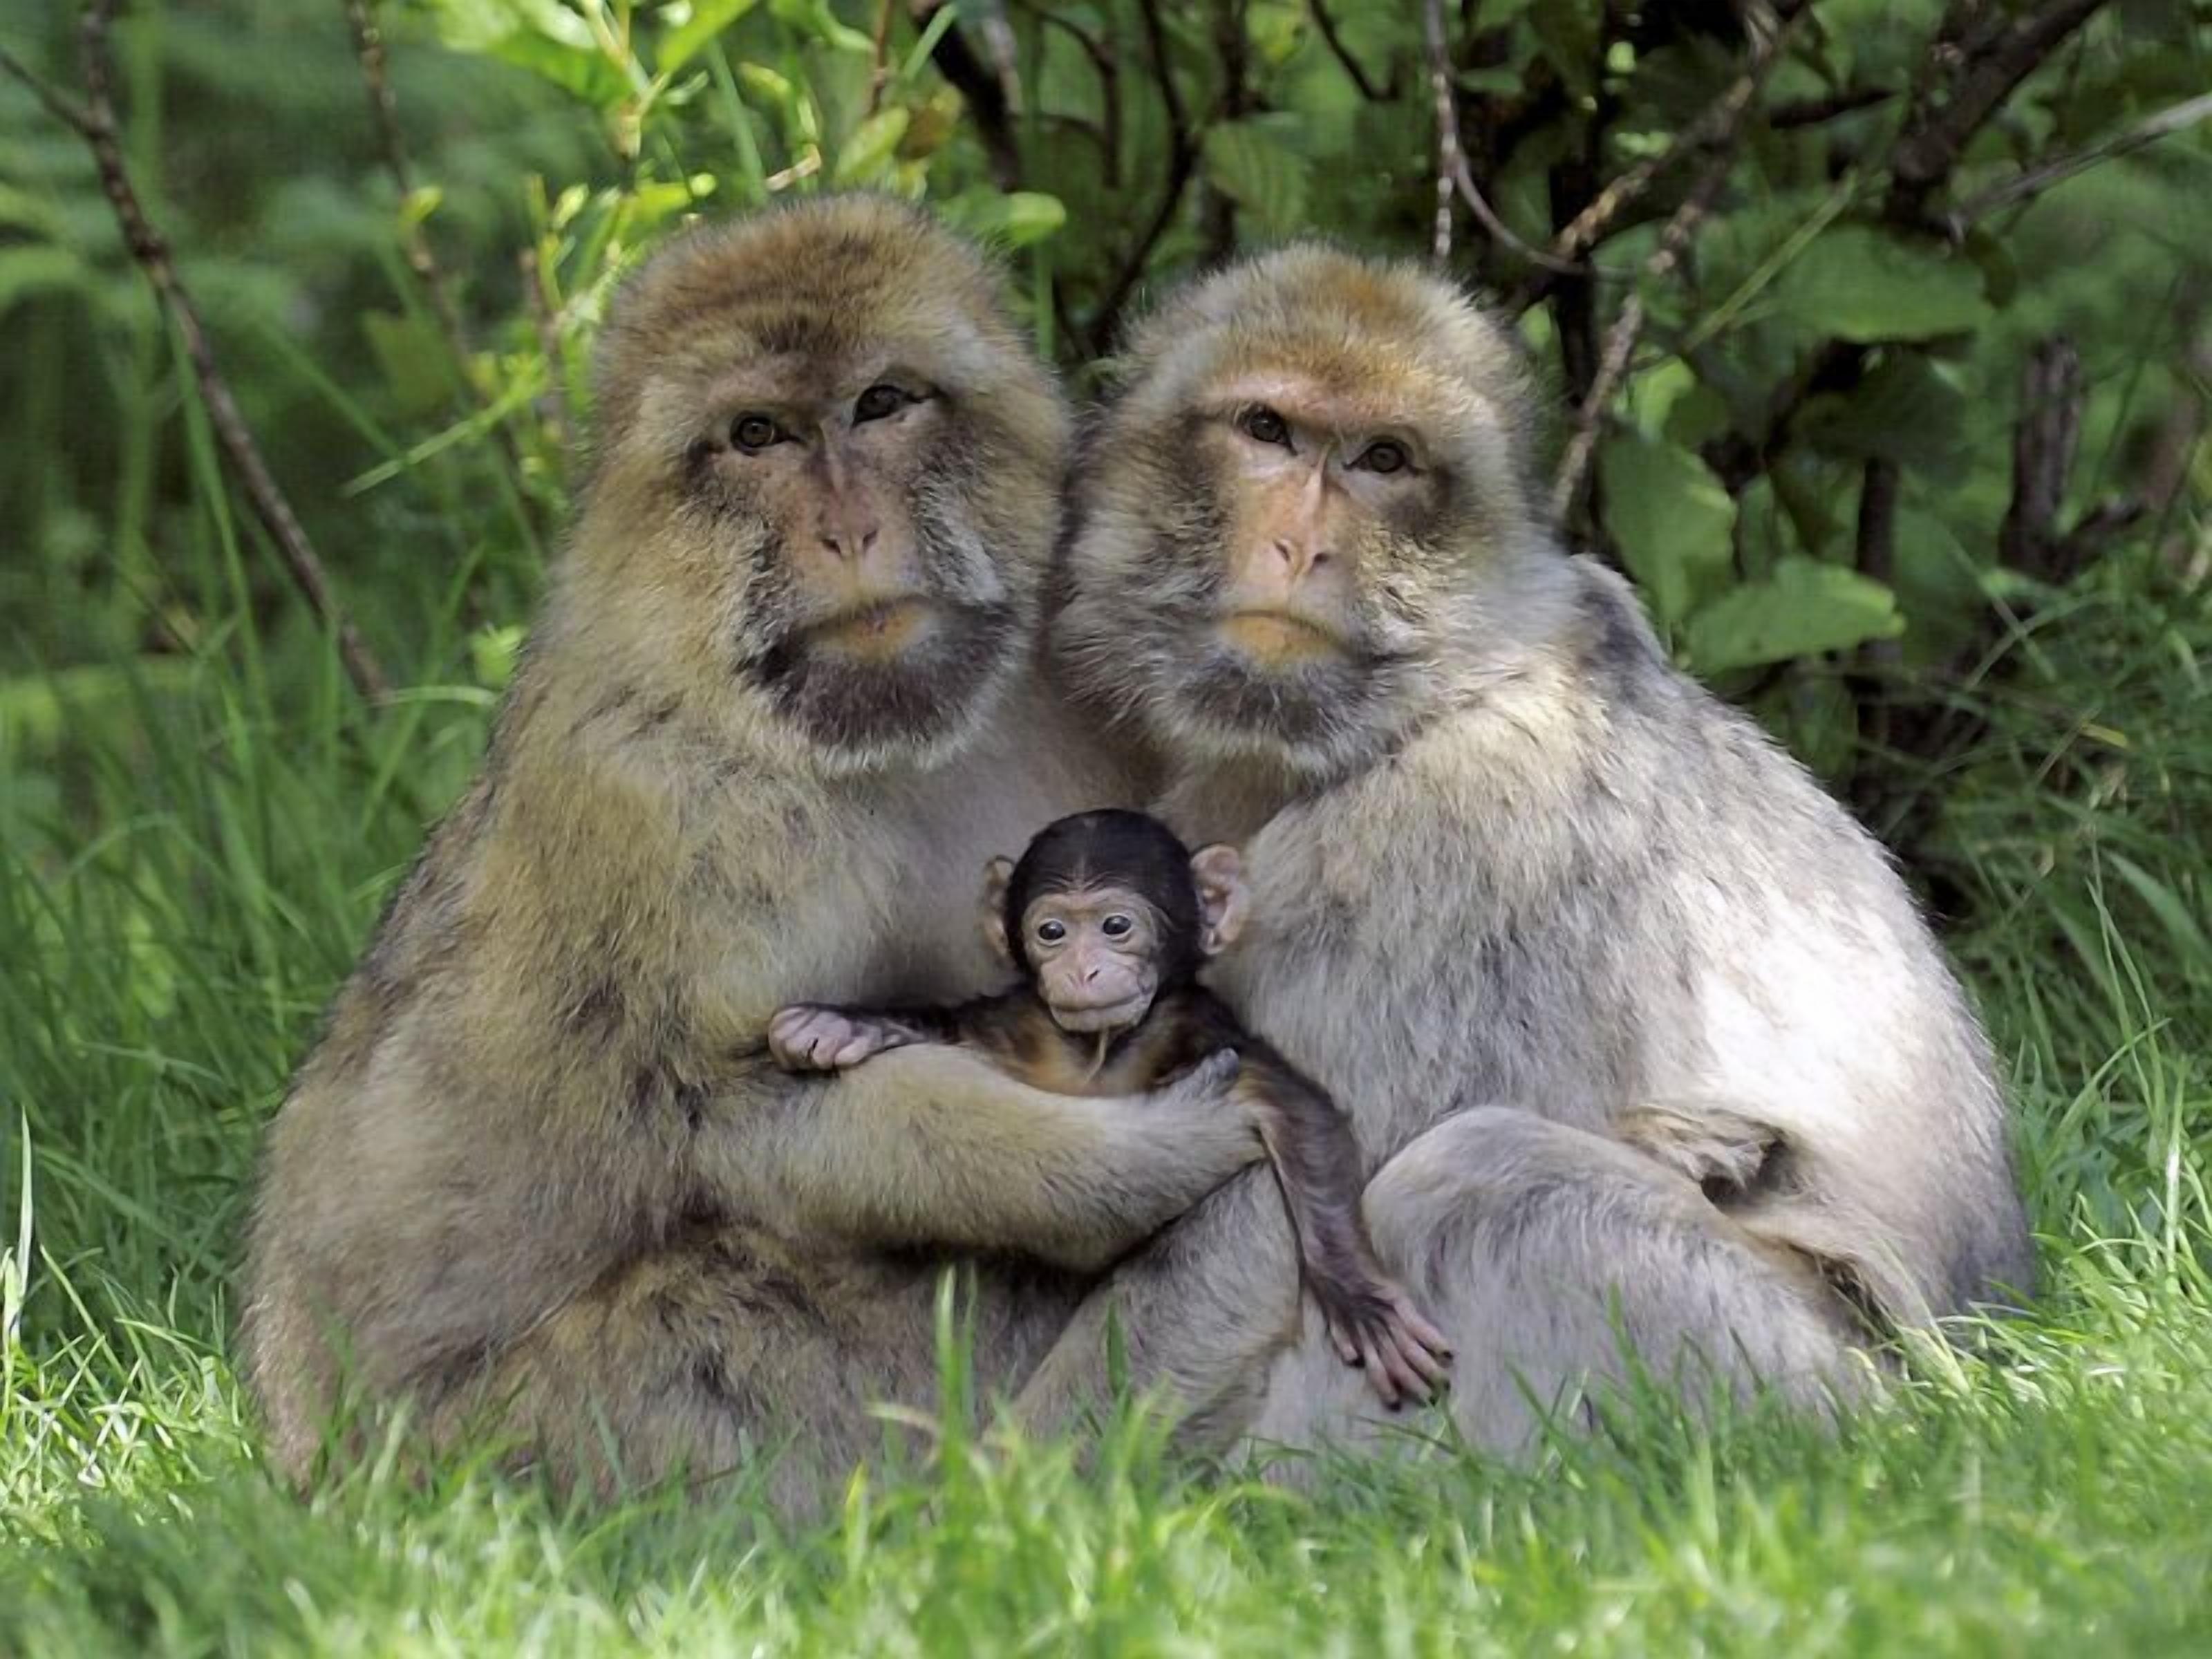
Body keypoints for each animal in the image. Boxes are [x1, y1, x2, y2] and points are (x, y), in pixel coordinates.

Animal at [238, 196, 1274, 1509]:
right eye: (758, 435)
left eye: (881, 403)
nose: (848, 527)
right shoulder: (672, 812)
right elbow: (738, 1104)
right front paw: (1149, 1160)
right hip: (496, 1451)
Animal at [769, 809, 1453, 1407]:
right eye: (1052, 932)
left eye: (1116, 926)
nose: (1083, 969)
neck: (1101, 1050)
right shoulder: (1022, 1027)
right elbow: (957, 1031)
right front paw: (844, 1024)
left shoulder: (1202, 1030)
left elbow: (1297, 1113)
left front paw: (1359, 1295)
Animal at [1024, 243, 2036, 1458]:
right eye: (1267, 429)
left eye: (1382, 459)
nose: (1301, 544)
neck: (1412, 705)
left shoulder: (1431, 853)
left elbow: (1292, 1184)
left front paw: (1006, 1480)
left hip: (1777, 1381)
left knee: (1487, 1182)